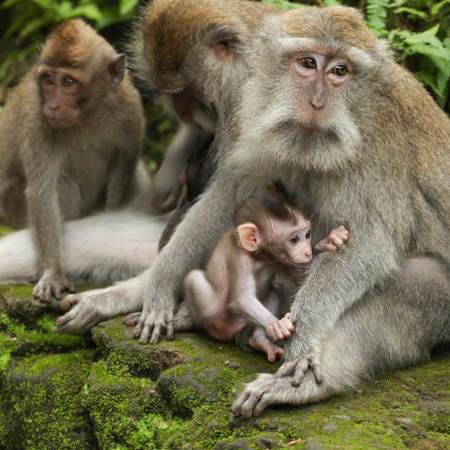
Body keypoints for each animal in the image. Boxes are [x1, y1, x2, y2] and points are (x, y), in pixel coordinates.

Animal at [0, 19, 146, 300]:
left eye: (68, 82)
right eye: (47, 79)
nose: (54, 105)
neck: (87, 114)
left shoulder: (131, 108)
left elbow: (122, 170)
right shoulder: (37, 118)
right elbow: (43, 193)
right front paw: (53, 274)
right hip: (11, 208)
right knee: (62, 186)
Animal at [184, 180, 348, 362]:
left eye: (307, 234)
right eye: (294, 239)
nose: (307, 252)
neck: (261, 256)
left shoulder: (282, 258)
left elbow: (302, 278)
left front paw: (329, 241)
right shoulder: (241, 261)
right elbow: (243, 299)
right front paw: (277, 324)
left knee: (275, 289)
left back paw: (259, 340)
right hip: (219, 324)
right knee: (195, 280)